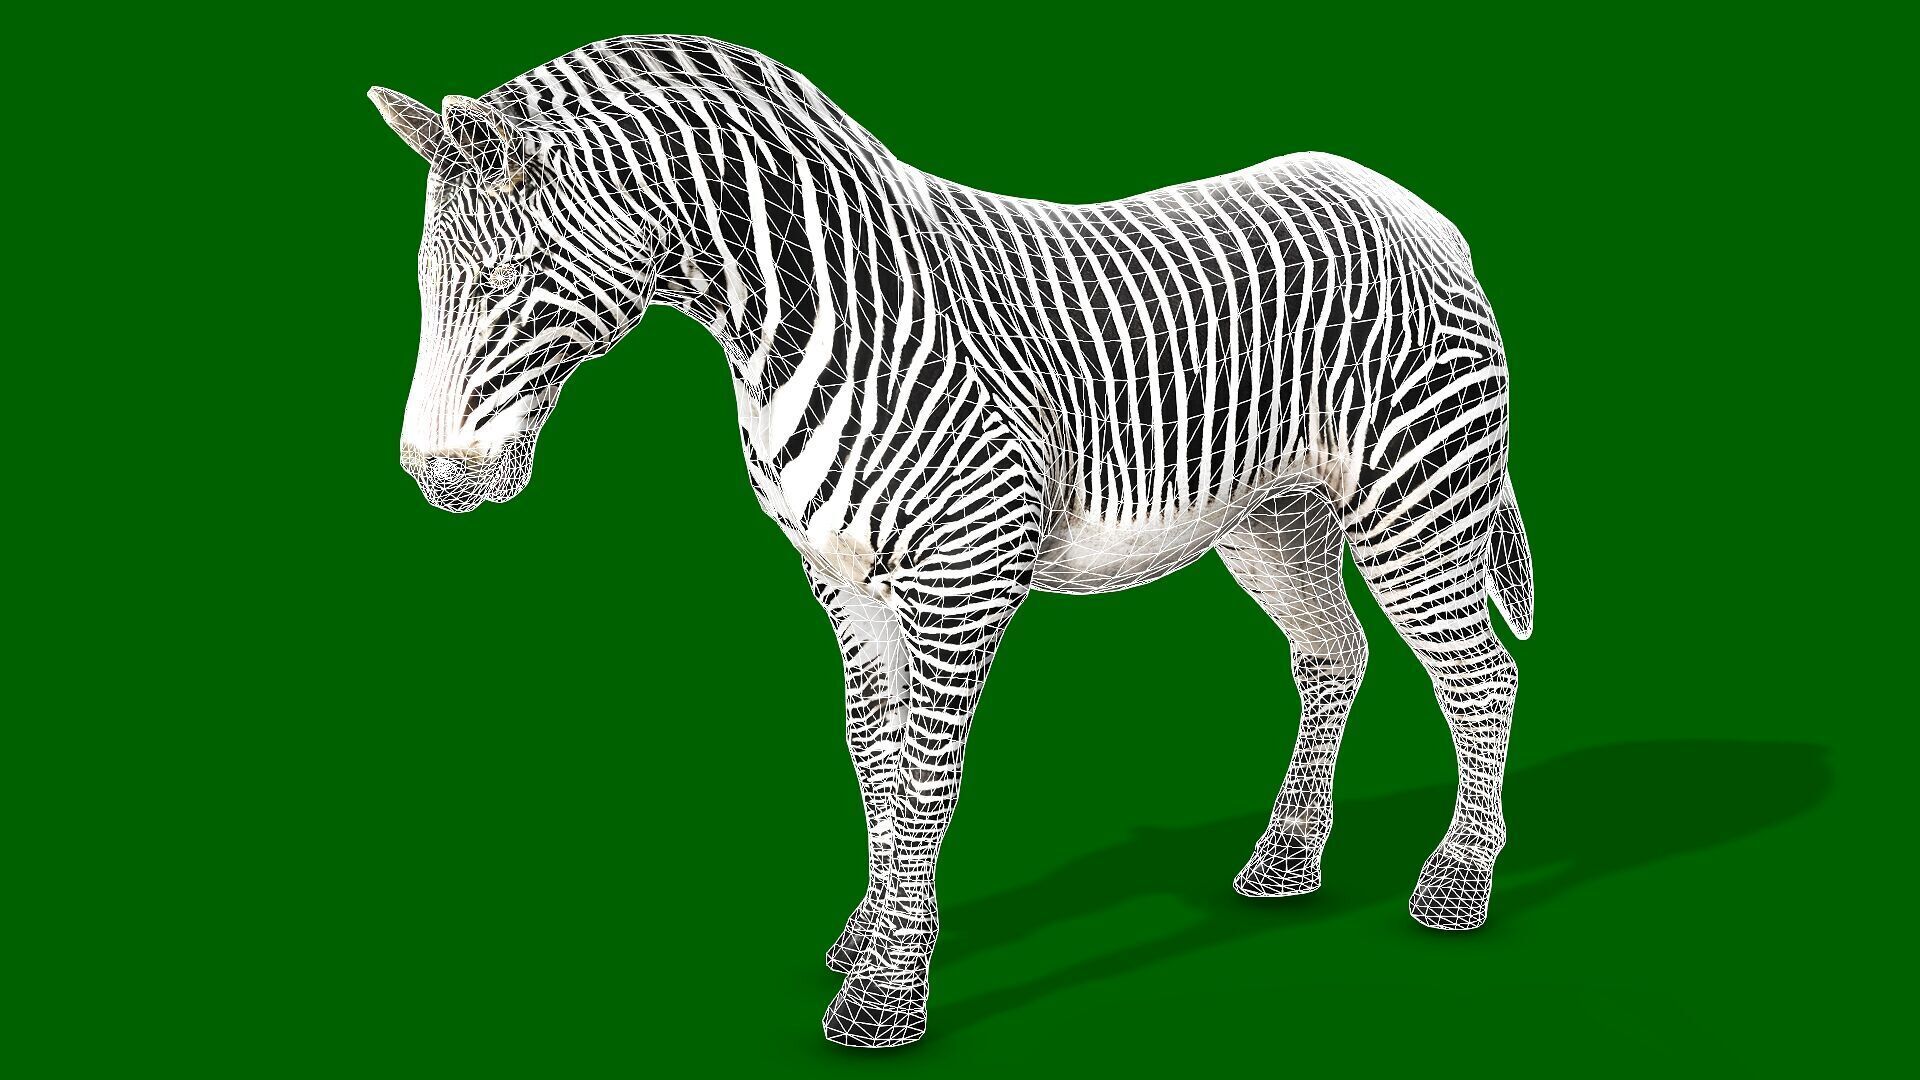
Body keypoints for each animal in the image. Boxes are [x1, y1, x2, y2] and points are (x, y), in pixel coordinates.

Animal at [370, 34, 1534, 1048]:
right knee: (1335, 654)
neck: (819, 324)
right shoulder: (844, 586)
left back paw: (1457, 884)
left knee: (1480, 677)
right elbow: (873, 764)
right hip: (1273, 516)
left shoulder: (963, 579)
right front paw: (875, 932)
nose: (435, 477)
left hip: (1416, 502)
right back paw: (1287, 859)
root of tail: (1413, 206)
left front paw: (886, 996)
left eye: (511, 277)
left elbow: (928, 779)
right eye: (426, 282)